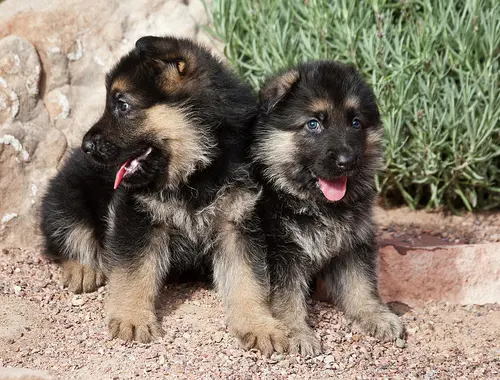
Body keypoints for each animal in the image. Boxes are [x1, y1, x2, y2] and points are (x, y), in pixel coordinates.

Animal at [41, 35, 290, 354]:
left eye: (122, 105)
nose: (86, 146)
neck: (196, 170)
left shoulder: (238, 223)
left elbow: (248, 279)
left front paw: (258, 324)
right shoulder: (137, 219)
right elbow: (133, 273)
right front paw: (132, 318)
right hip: (66, 197)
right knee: (66, 236)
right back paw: (82, 269)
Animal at [252, 61, 404, 356]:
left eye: (355, 123)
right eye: (313, 124)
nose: (347, 161)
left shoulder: (354, 243)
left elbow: (361, 284)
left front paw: (375, 315)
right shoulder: (281, 251)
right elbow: (286, 298)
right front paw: (296, 332)